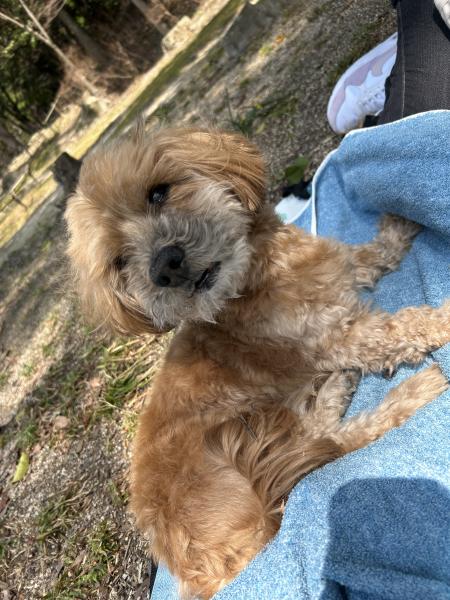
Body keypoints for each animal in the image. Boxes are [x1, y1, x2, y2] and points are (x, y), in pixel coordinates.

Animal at [65, 125, 450, 599]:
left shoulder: (344, 269)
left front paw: (398, 222)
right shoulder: (340, 338)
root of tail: (198, 570)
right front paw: (442, 320)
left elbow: (376, 252)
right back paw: (409, 389)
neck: (257, 274)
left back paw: (335, 388)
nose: (164, 266)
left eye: (157, 192)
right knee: (330, 445)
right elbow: (404, 327)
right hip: (243, 442)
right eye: (120, 261)